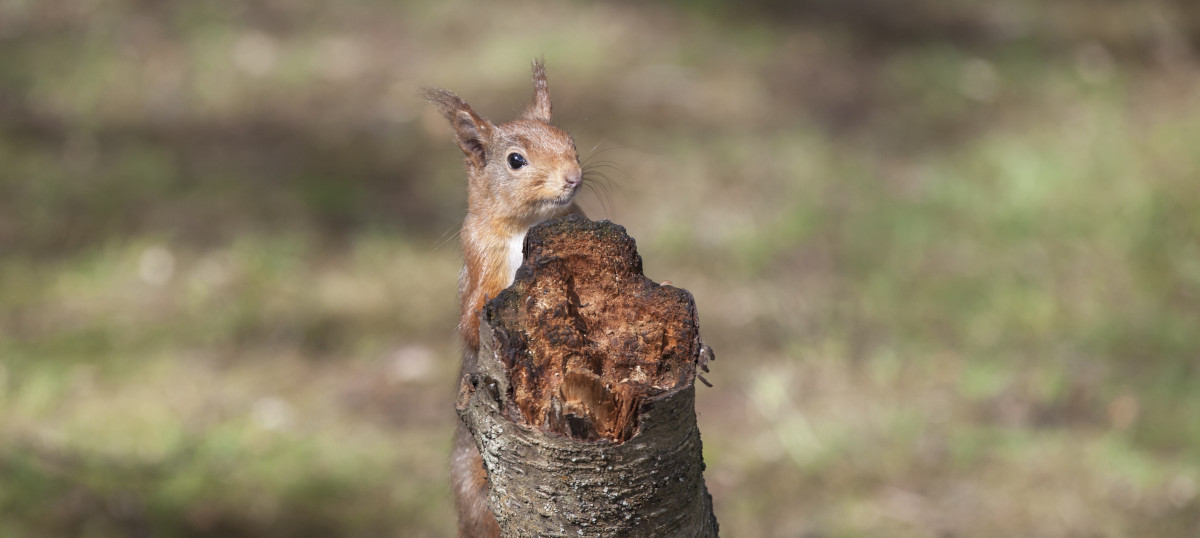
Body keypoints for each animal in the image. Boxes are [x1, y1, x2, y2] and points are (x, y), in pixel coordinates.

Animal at [427, 60, 585, 538]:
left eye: (571, 140)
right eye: (515, 160)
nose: (574, 177)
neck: (525, 227)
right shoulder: (477, 265)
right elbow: (471, 322)